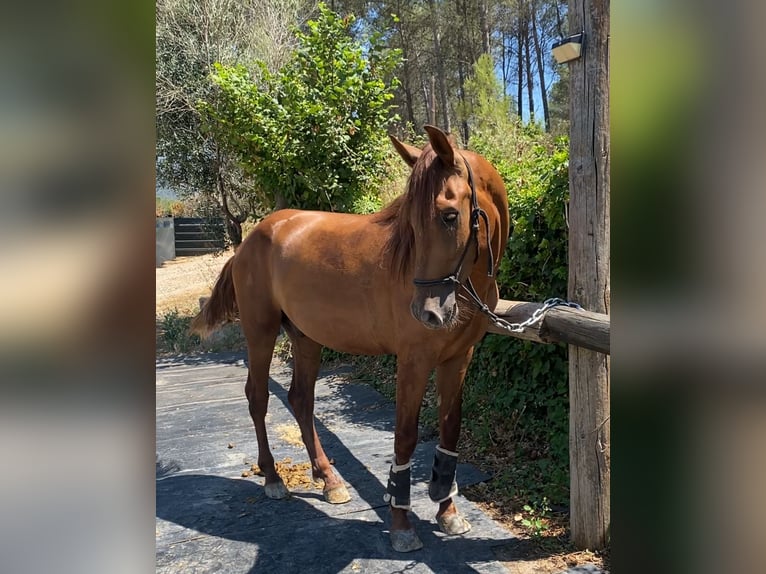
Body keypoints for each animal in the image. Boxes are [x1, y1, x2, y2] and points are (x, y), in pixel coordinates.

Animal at [190, 125, 510, 552]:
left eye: (449, 215)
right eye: (411, 221)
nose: (427, 313)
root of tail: (253, 237)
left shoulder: (458, 359)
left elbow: (450, 430)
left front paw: (448, 513)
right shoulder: (413, 361)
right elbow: (405, 436)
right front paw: (402, 526)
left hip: (305, 337)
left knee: (300, 400)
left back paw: (329, 480)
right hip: (261, 332)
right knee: (258, 397)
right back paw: (274, 479)